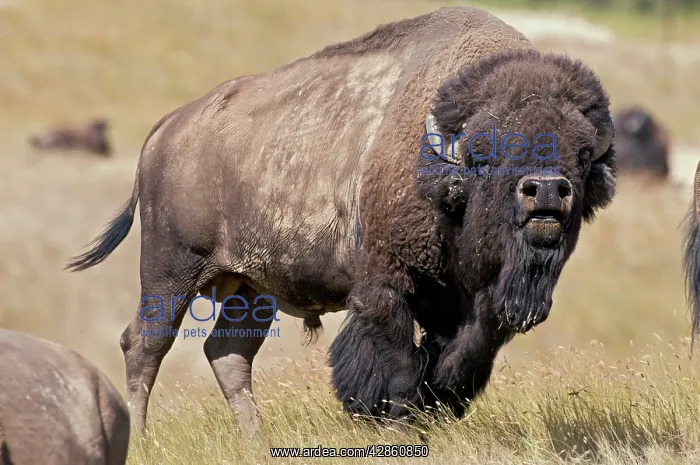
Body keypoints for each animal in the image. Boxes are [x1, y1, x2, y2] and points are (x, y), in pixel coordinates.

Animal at [66, 6, 616, 437]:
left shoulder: (476, 310)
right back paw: (142, 439)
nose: (546, 190)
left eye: (582, 154)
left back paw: (256, 441)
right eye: (485, 153)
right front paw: (394, 424)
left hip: (250, 288)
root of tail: (166, 129)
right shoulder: (386, 287)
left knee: (228, 353)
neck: (441, 159)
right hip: (170, 270)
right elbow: (398, 368)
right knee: (145, 344)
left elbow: (457, 365)